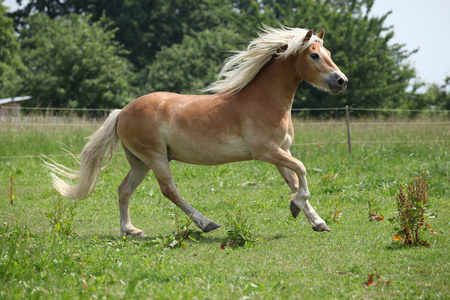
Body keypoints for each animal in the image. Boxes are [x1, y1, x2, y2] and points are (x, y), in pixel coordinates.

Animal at [44, 25, 348, 237]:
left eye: (329, 54)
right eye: (314, 55)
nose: (341, 81)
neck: (266, 101)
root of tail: (123, 111)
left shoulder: (281, 151)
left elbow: (294, 180)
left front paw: (315, 221)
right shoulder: (267, 152)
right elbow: (303, 172)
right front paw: (297, 207)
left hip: (140, 162)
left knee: (124, 190)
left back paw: (129, 230)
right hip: (155, 158)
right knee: (169, 190)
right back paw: (206, 223)